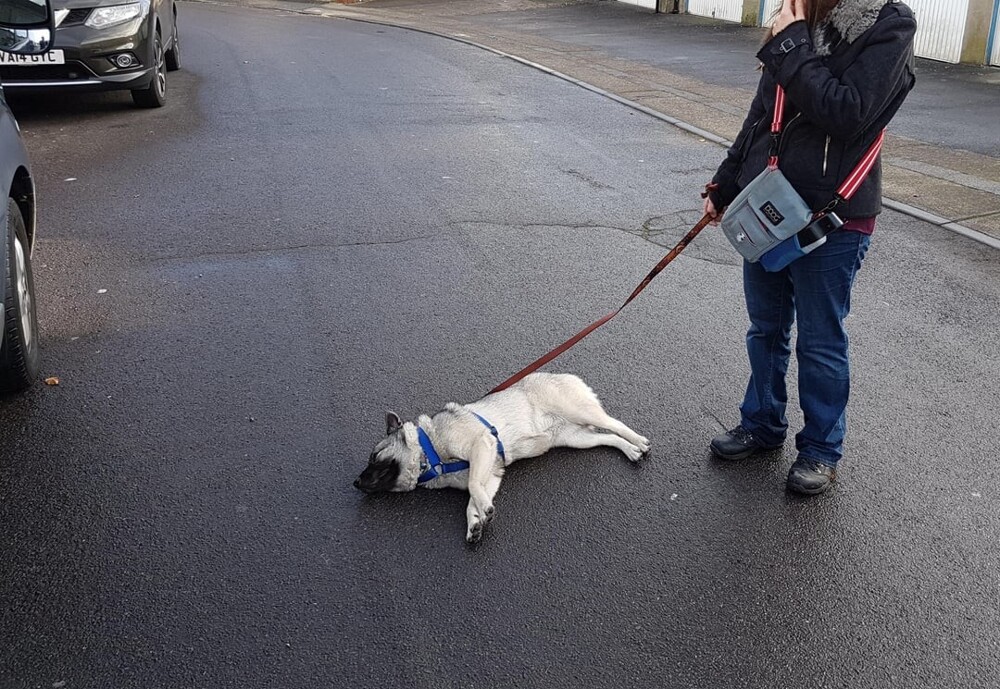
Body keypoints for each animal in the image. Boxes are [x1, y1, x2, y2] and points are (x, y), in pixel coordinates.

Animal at [356, 370, 652, 544]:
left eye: (374, 457)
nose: (356, 483)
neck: (429, 454)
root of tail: (563, 374)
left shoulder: (482, 446)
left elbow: (473, 487)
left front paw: (483, 510)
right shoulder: (491, 473)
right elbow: (473, 498)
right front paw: (476, 522)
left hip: (579, 412)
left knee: (614, 424)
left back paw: (638, 441)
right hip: (576, 439)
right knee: (607, 438)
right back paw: (630, 450)